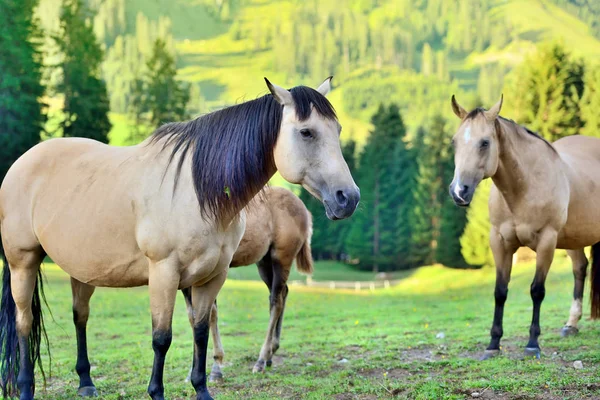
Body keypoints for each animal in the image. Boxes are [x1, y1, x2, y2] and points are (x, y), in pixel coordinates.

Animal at [180, 186, 314, 382]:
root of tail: (304, 209)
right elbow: (193, 316)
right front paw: (192, 372)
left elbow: (210, 314)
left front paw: (215, 370)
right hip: (264, 262)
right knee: (283, 293)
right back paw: (271, 354)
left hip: (282, 258)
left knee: (276, 302)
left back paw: (261, 361)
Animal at [450, 95, 600, 360]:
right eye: (454, 142)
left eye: (485, 142)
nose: (459, 192)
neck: (525, 187)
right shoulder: (500, 242)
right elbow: (500, 291)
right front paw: (493, 344)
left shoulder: (546, 241)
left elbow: (537, 290)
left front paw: (532, 344)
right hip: (573, 238)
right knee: (580, 269)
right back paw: (571, 325)